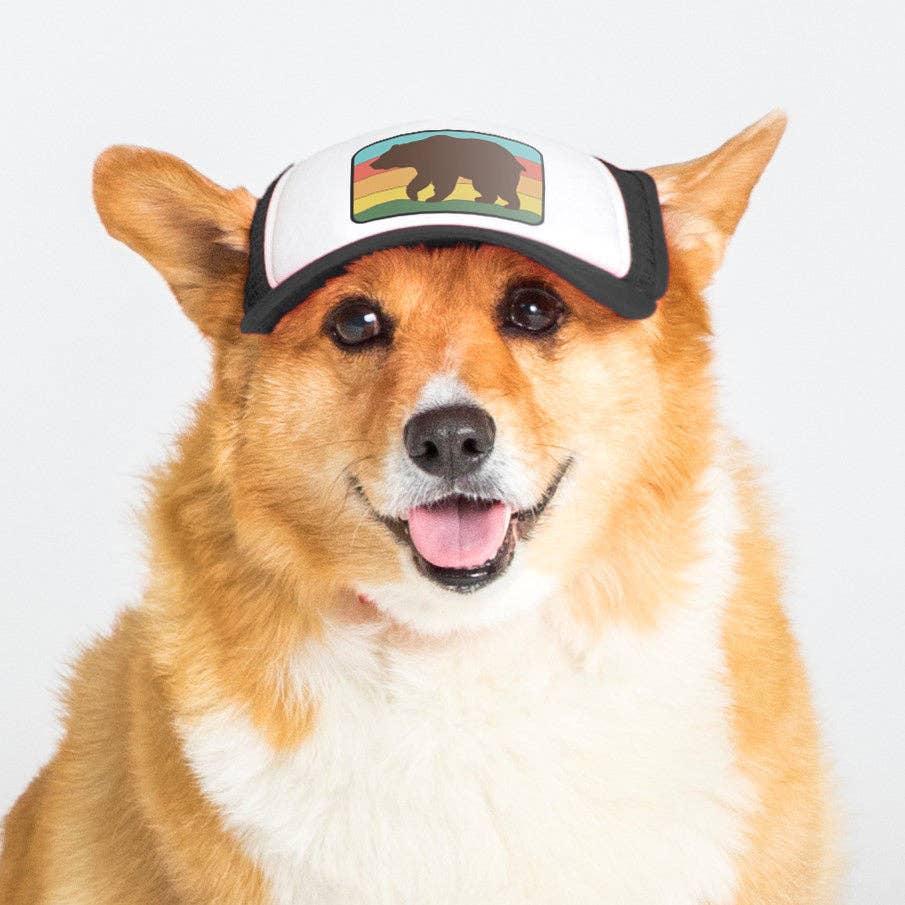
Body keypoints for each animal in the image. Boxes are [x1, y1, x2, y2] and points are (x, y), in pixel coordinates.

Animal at [369, 134, 524, 209]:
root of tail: (517, 164)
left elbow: (442, 181)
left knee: (504, 189)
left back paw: (511, 205)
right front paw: (419, 195)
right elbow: (424, 179)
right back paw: (482, 199)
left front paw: (430, 197)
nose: (372, 164)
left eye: (382, 156)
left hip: (496, 171)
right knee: (485, 187)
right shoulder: (427, 166)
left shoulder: (444, 163)